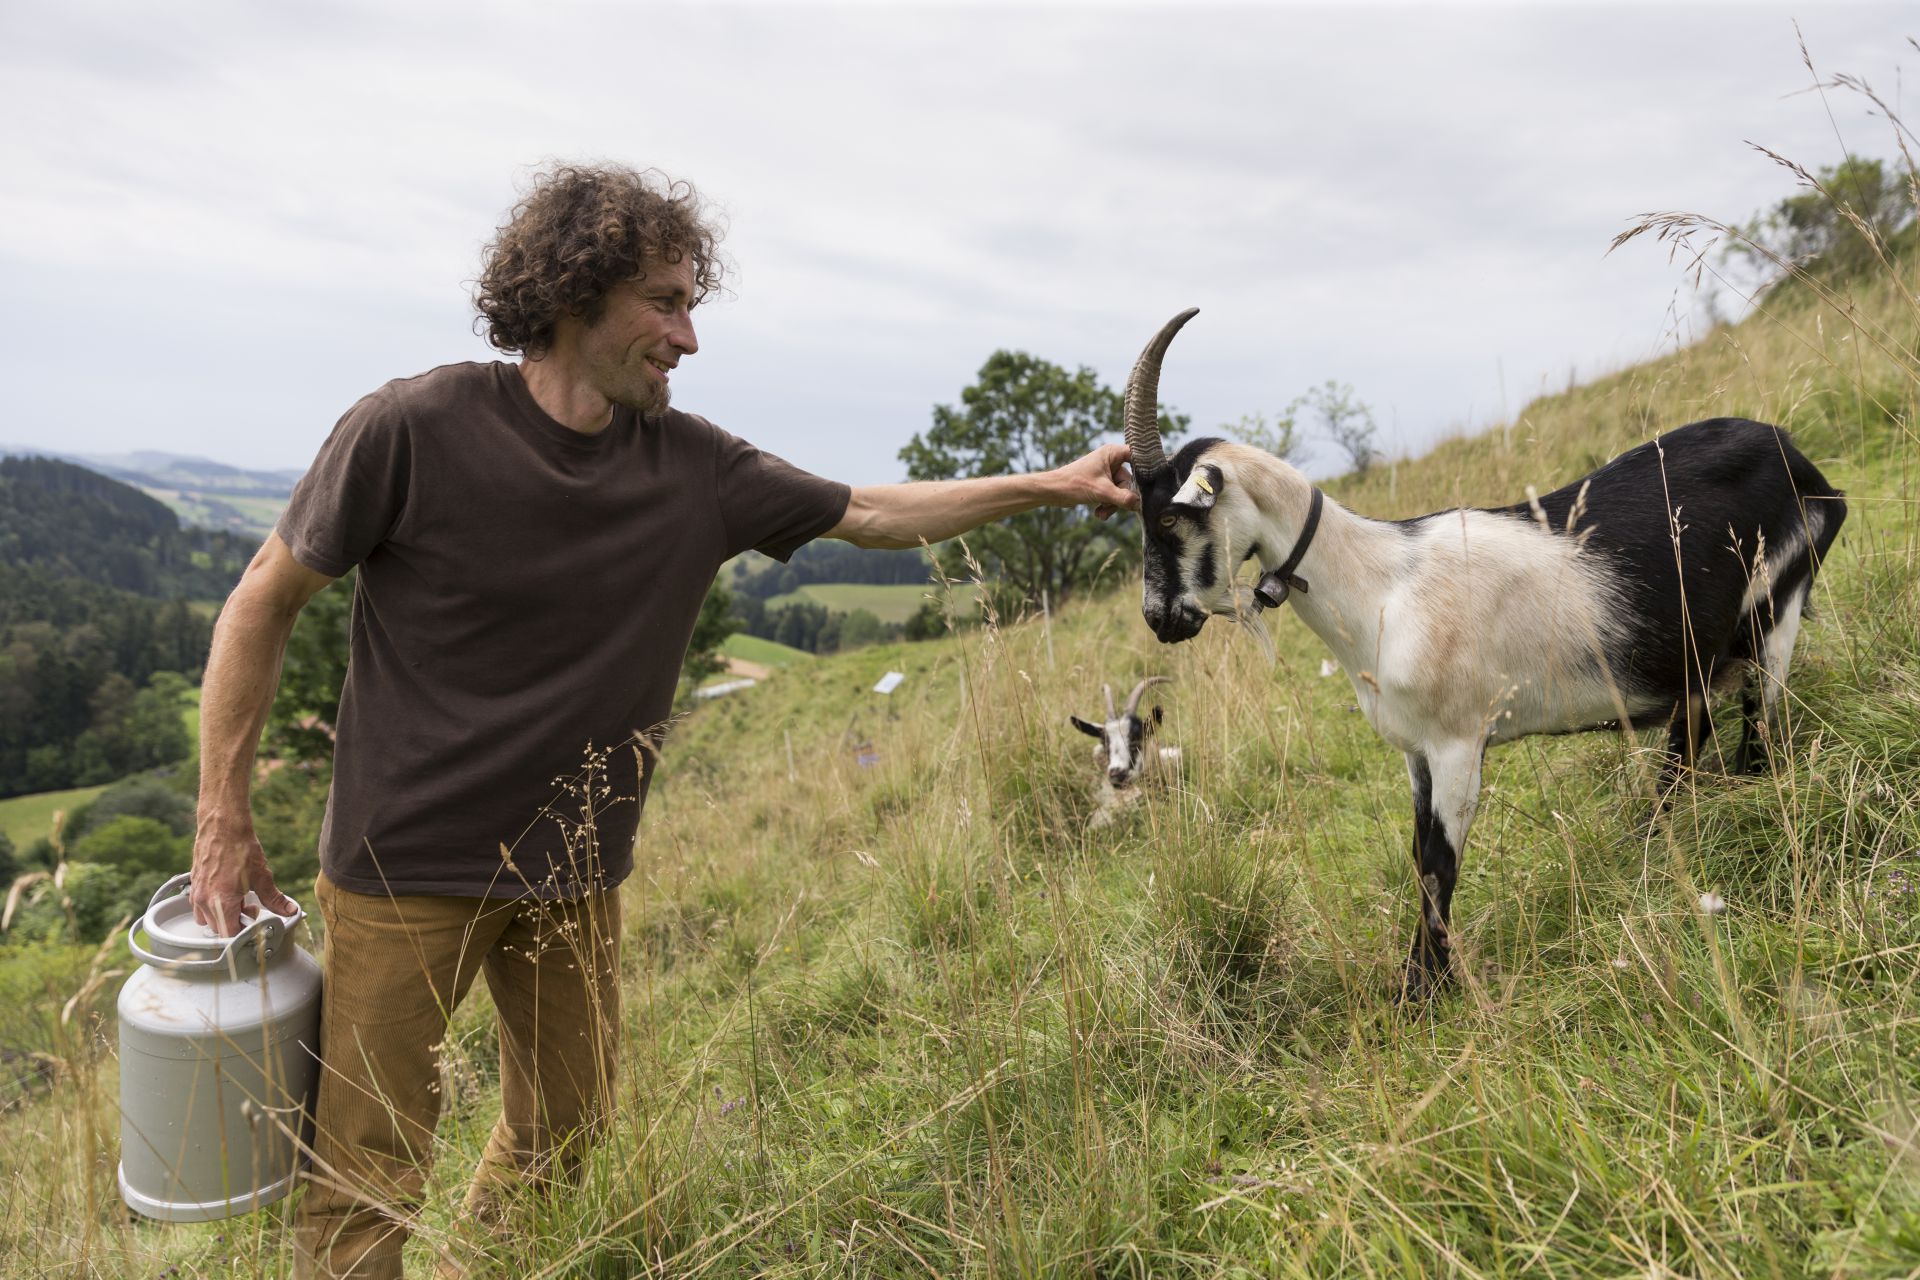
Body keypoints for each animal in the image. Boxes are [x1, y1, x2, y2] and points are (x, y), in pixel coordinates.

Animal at [1121, 305, 1843, 997]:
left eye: (1169, 516)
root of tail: (1802, 463)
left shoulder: (1459, 742)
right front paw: (1420, 980)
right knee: (1691, 739)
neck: (1381, 585)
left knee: (1759, 730)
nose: (1160, 619)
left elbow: (1441, 863)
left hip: (1777, 608)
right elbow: (1419, 856)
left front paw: (1426, 992)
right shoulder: (1416, 752)